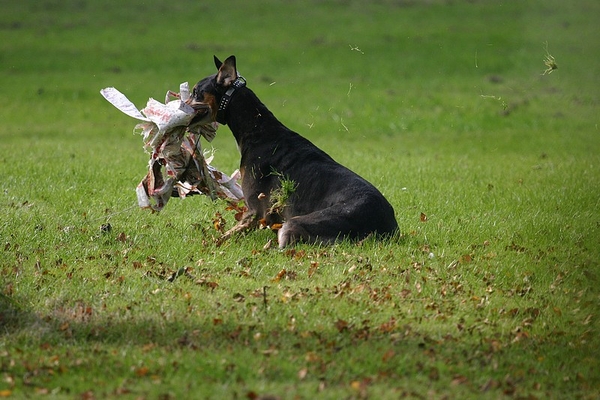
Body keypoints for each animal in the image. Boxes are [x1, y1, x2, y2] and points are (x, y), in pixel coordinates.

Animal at [190, 55, 398, 248]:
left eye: (195, 92)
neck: (258, 130)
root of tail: (387, 229)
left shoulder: (255, 211)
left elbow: (223, 237)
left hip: (294, 223)